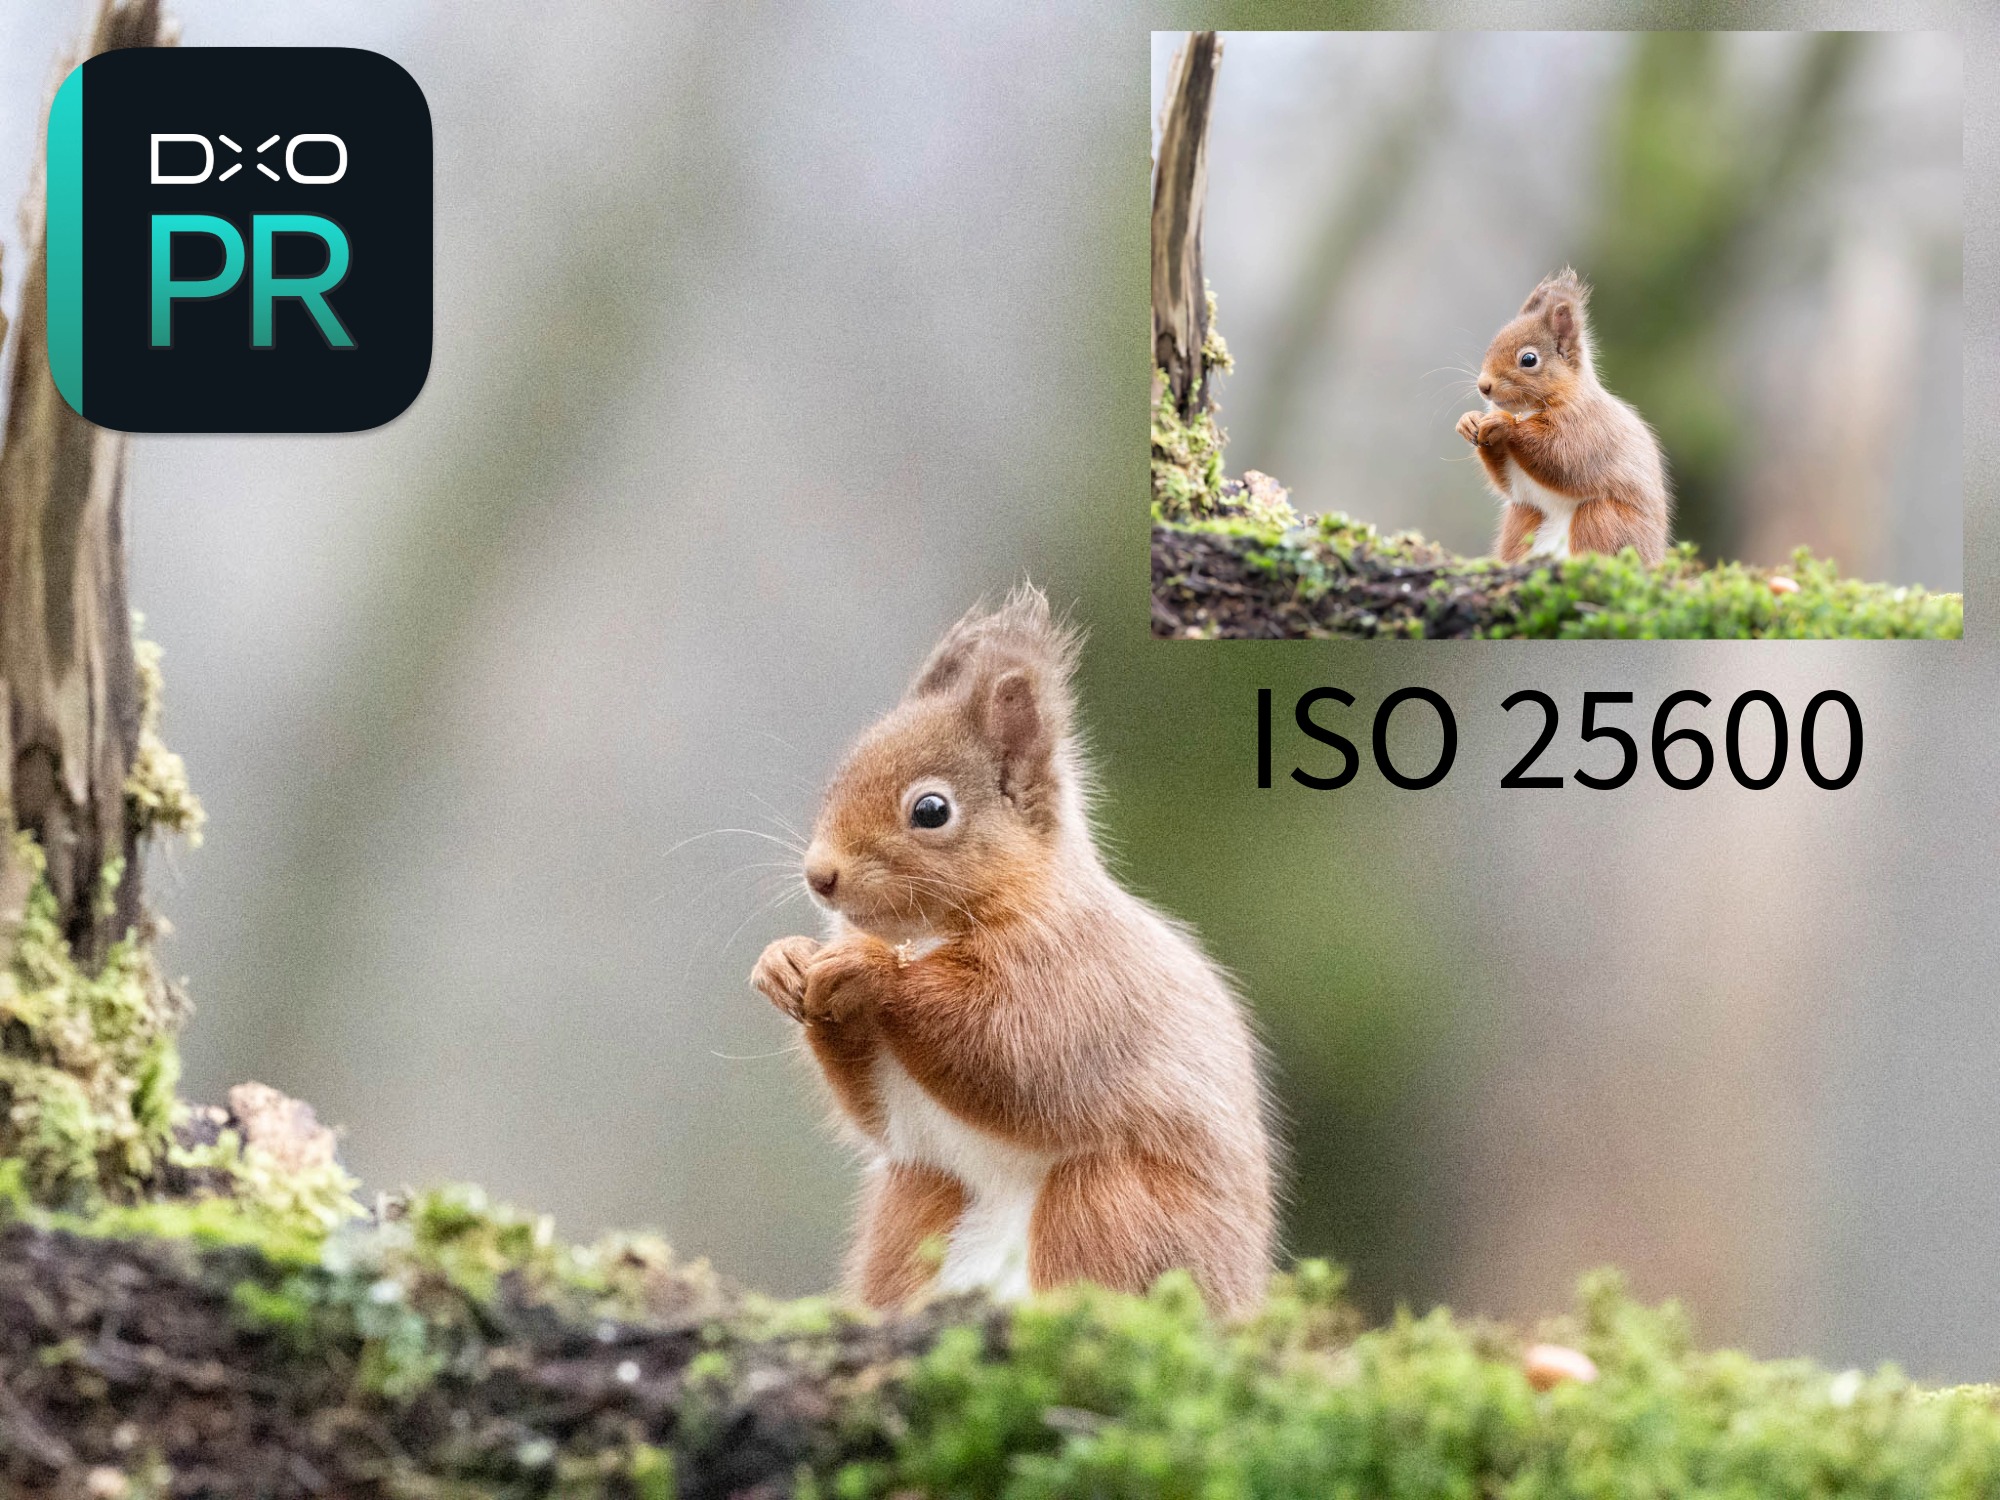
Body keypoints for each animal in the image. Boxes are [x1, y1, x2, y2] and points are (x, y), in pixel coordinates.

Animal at [750, 588, 1274, 1314]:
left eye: (932, 810)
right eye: (839, 777)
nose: (819, 876)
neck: (926, 933)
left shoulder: (1078, 980)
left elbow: (1009, 1051)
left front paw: (871, 971)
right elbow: (874, 1112)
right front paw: (783, 963)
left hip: (1115, 1204)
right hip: (919, 1195)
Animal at [1455, 268, 1671, 565]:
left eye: (1529, 359)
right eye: (1492, 345)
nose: (1483, 386)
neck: (1527, 409)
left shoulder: (1588, 428)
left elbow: (1560, 457)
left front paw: (1505, 425)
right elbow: (1504, 482)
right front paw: (1469, 421)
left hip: (1604, 518)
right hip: (1524, 515)